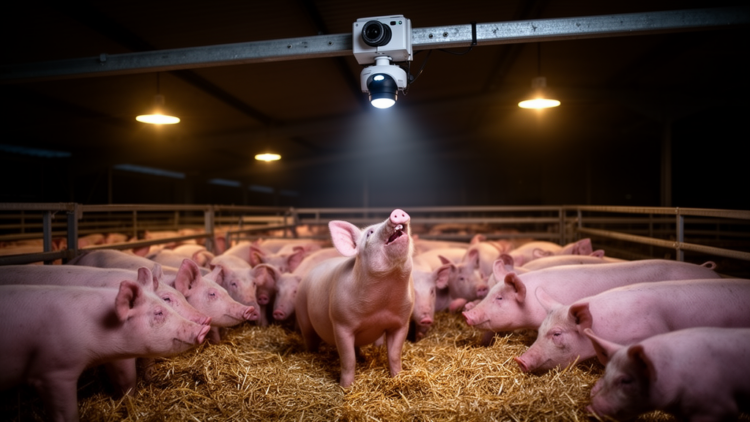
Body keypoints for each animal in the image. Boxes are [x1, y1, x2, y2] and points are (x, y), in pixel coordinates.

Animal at [295, 209, 414, 387]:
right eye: (369, 233)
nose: (397, 212)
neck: (382, 300)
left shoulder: (401, 323)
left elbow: (394, 355)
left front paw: (398, 377)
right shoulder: (341, 324)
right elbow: (348, 360)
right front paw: (346, 387)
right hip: (302, 314)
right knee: (310, 339)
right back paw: (311, 354)